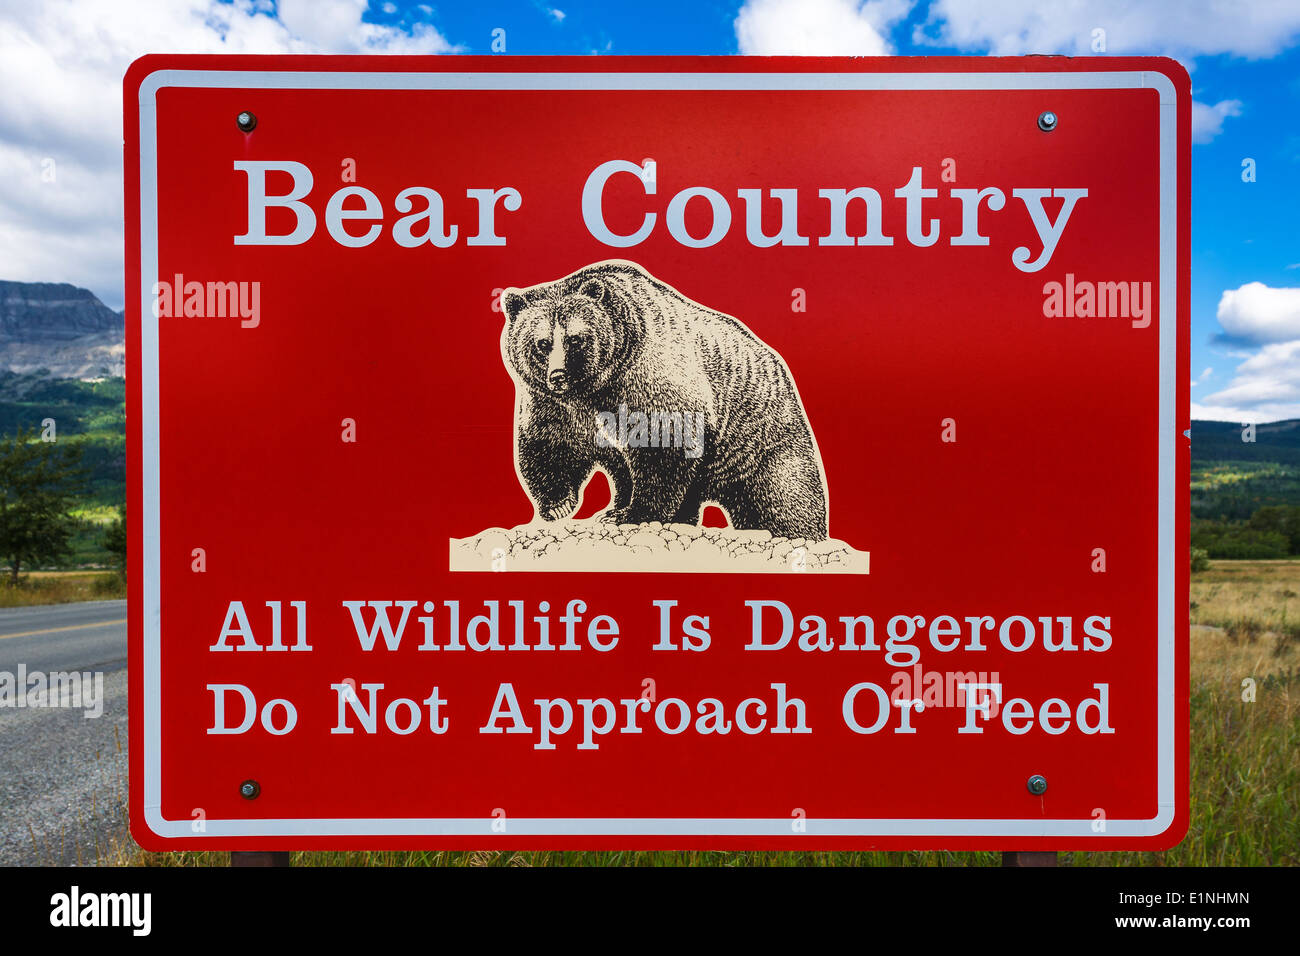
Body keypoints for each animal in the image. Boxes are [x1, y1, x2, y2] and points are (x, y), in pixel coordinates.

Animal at [500, 260, 829, 541]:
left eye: (575, 339)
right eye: (542, 343)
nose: (558, 375)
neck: (596, 388)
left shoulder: (650, 381)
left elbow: (662, 445)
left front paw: (632, 514)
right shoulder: (555, 403)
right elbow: (550, 442)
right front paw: (558, 505)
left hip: (757, 441)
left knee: (784, 497)